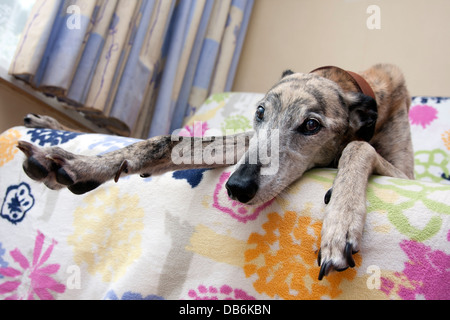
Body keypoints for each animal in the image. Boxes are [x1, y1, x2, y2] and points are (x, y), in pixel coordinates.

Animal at [16, 63, 414, 278]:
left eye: (311, 125)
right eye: (259, 112)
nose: (237, 187)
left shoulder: (407, 175)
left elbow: (357, 146)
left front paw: (339, 224)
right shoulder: (247, 139)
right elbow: (169, 142)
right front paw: (81, 165)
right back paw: (48, 124)